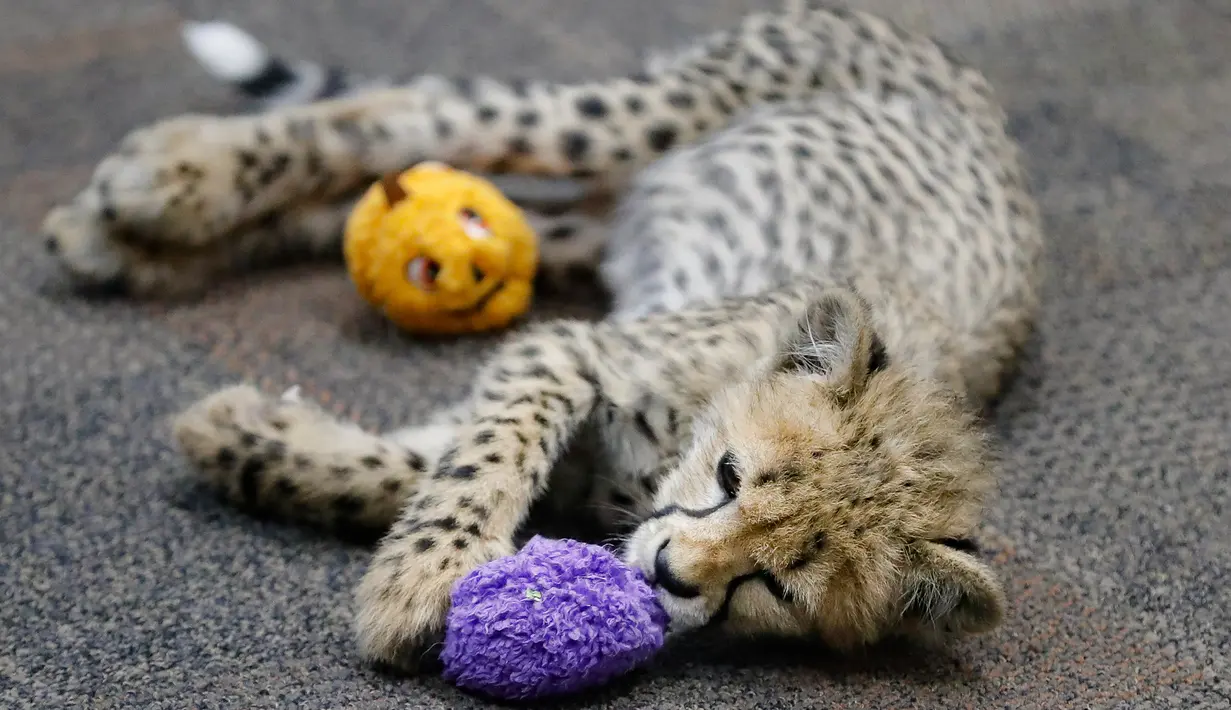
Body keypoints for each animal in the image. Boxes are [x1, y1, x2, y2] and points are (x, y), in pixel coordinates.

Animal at [40, 0, 1044, 672]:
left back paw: (131, 243)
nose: (670, 572)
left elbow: (409, 461)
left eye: (777, 585)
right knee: (399, 118)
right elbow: (482, 457)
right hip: (644, 116)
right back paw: (169, 176)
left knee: (421, 195)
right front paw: (422, 580)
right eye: (731, 478)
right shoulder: (567, 350)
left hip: (600, 217)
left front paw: (253, 437)